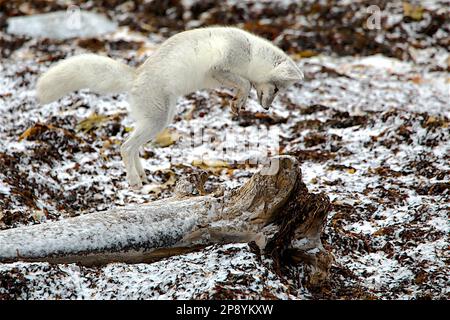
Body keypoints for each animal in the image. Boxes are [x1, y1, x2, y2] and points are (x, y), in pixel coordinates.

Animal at [37, 26, 304, 190]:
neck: (251, 52)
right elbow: (245, 83)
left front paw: (238, 103)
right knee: (125, 147)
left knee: (133, 147)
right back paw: (134, 181)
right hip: (157, 121)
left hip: (161, 120)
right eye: (277, 90)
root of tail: (136, 76)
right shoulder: (220, 68)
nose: (267, 109)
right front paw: (238, 100)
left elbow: (244, 86)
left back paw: (142, 175)